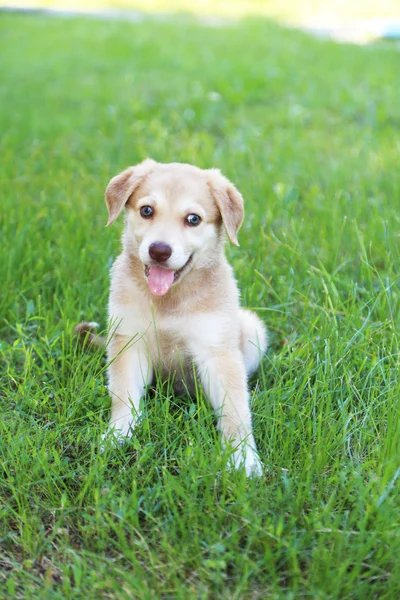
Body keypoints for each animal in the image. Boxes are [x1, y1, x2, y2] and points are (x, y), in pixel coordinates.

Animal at [101, 158, 268, 474]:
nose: (159, 251)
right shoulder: (129, 340)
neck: (168, 300)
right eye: (146, 210)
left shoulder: (217, 351)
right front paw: (119, 433)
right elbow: (124, 393)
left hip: (252, 330)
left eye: (193, 219)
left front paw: (242, 456)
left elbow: (235, 408)